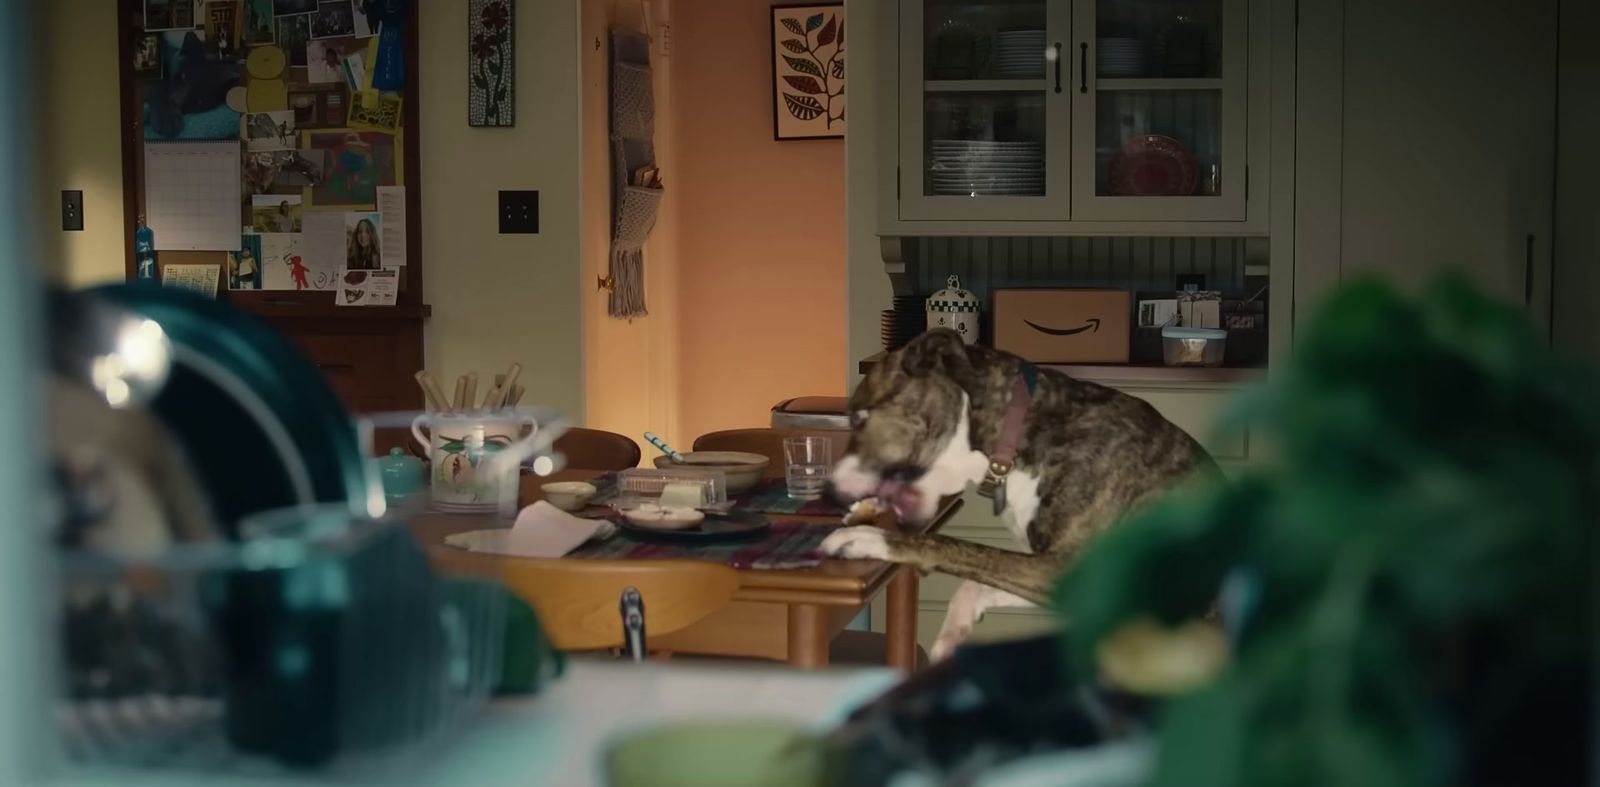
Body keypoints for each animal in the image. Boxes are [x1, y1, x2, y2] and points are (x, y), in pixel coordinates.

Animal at [825, 329, 1209, 662]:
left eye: (859, 418)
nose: (828, 492)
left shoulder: (1067, 568)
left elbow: (950, 546)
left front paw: (866, 536)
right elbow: (974, 581)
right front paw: (953, 635)